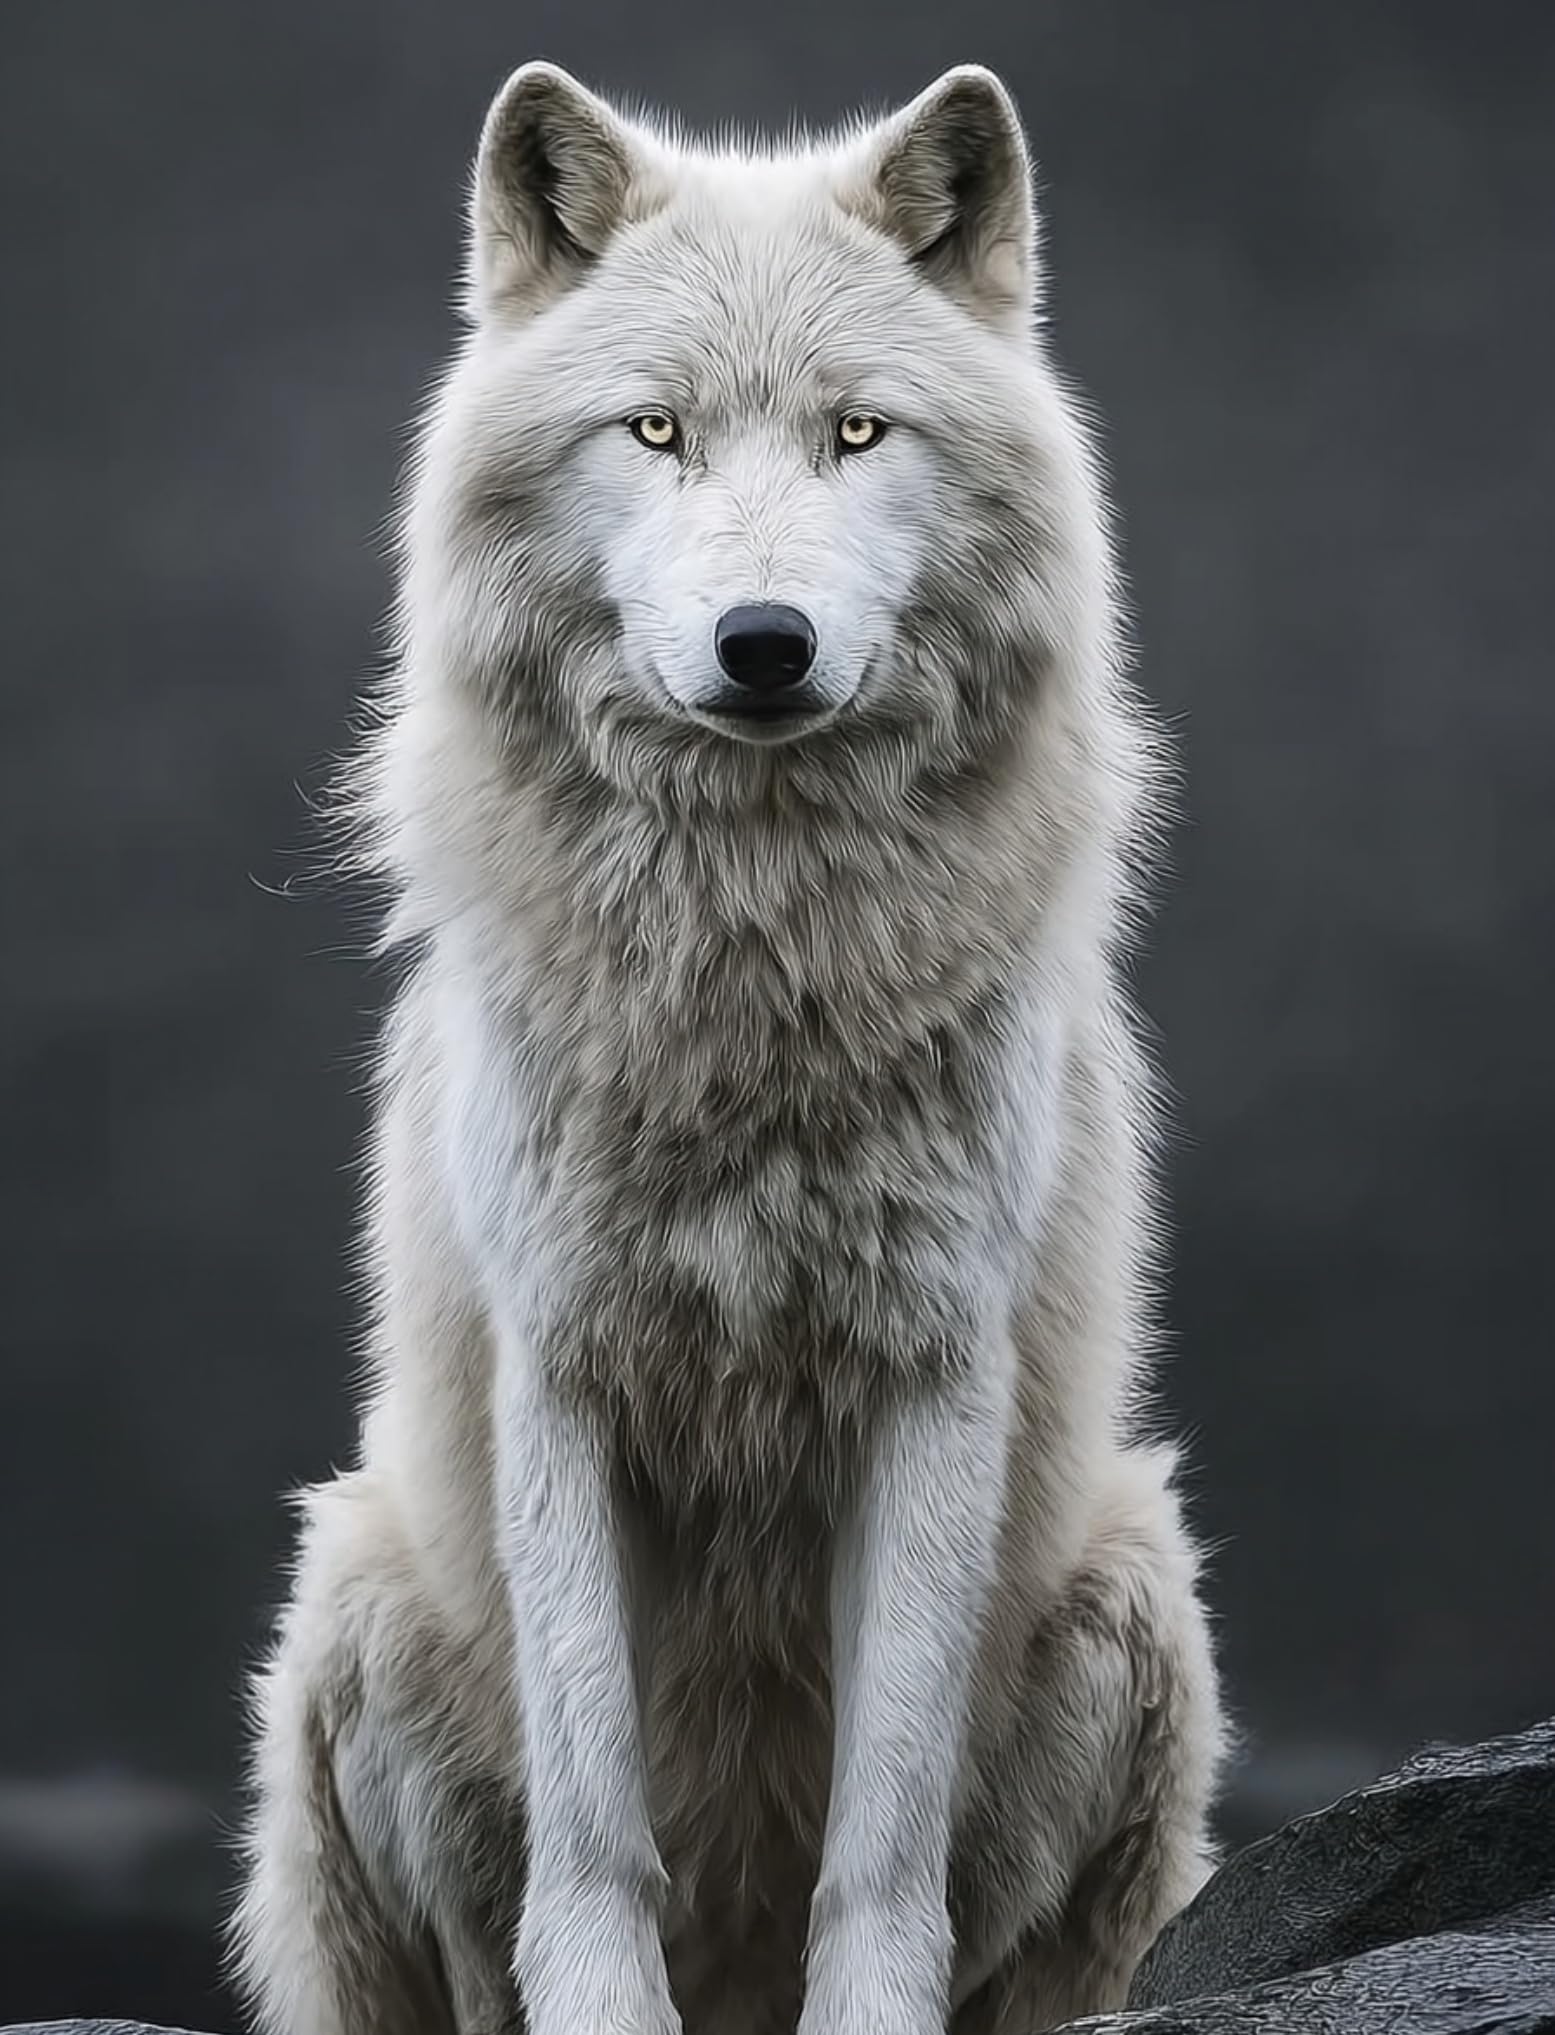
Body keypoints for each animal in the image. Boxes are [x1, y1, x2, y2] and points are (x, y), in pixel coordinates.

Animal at [231, 57, 1225, 2035]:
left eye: (855, 434)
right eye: (656, 432)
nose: (765, 643)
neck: (749, 979)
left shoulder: (933, 1375)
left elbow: (883, 1841)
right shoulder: (559, 1372)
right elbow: (596, 1827)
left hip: (1136, 1583)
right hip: (352, 1590)